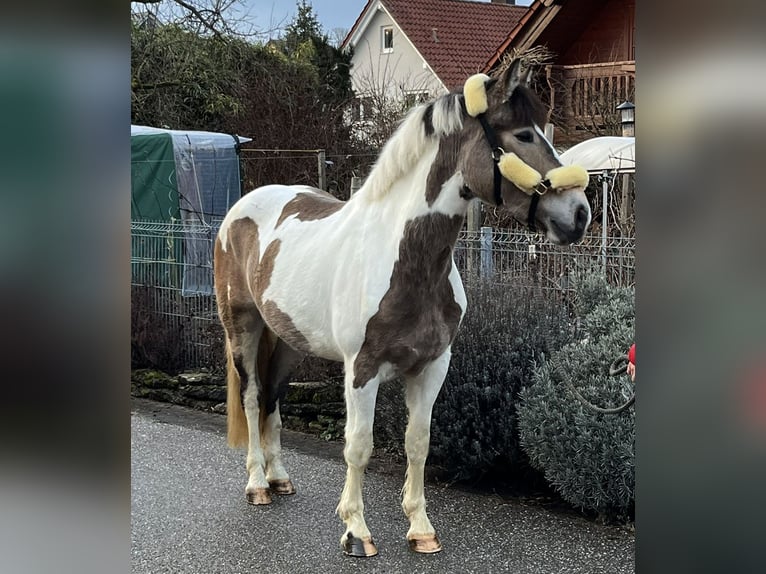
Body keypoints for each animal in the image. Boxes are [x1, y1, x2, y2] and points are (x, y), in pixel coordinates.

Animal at [213, 59, 591, 557]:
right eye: (524, 135)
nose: (580, 213)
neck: (404, 260)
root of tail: (241, 208)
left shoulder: (432, 367)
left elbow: (419, 443)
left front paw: (421, 528)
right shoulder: (362, 370)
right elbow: (359, 445)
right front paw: (356, 531)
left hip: (291, 338)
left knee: (273, 395)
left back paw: (279, 479)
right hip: (242, 326)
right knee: (253, 395)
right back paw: (258, 484)